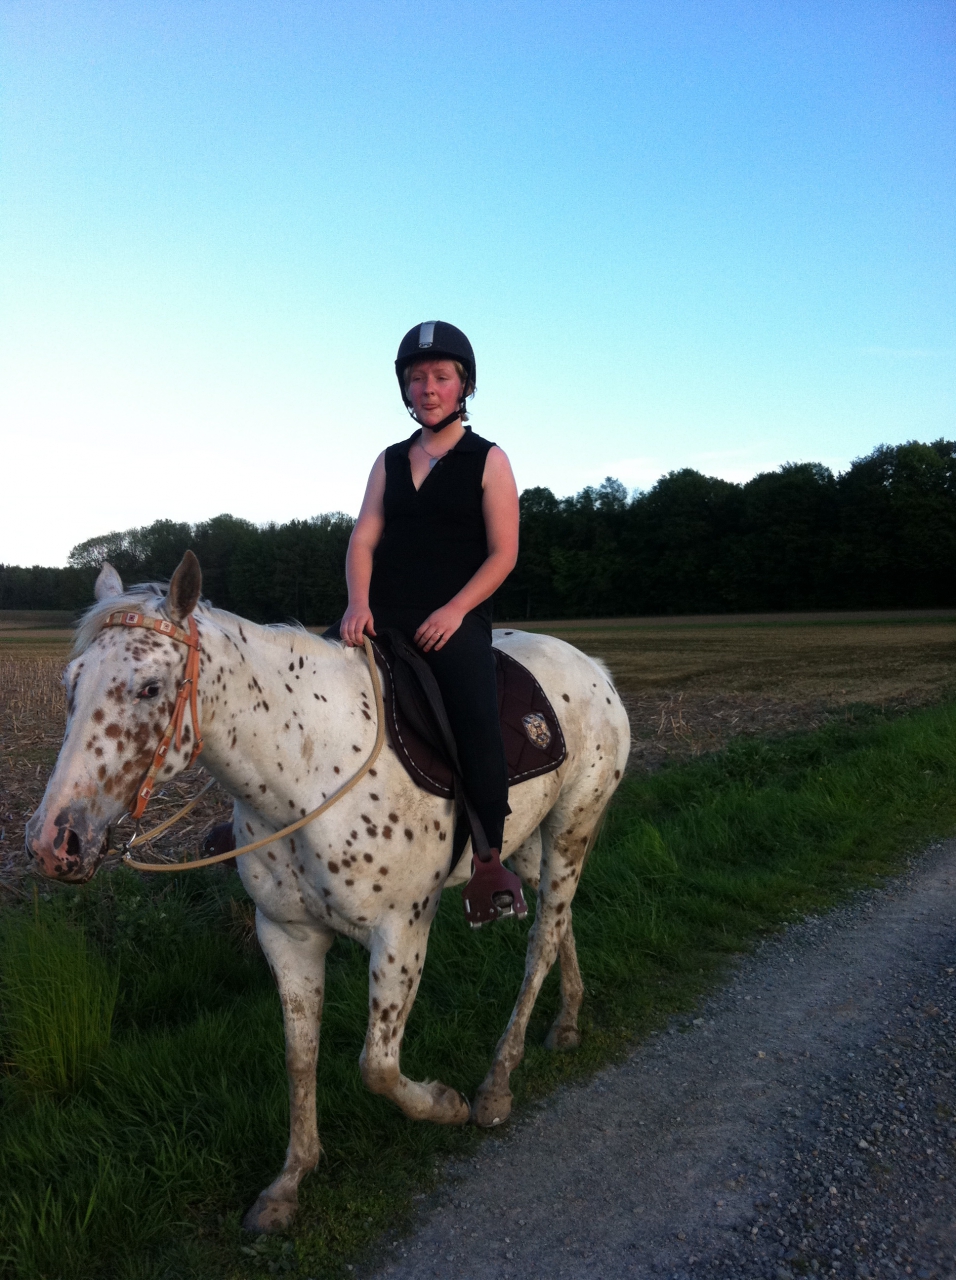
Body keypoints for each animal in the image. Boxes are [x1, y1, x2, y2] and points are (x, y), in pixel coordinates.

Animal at [26, 552, 630, 1232]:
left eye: (151, 688)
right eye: (71, 684)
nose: (54, 841)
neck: (306, 768)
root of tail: (594, 668)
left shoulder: (400, 933)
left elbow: (377, 1067)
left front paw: (445, 1104)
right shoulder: (286, 936)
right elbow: (299, 1055)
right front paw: (290, 1182)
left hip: (572, 827)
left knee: (541, 939)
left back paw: (497, 1083)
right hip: (528, 846)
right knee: (559, 920)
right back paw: (568, 1021)